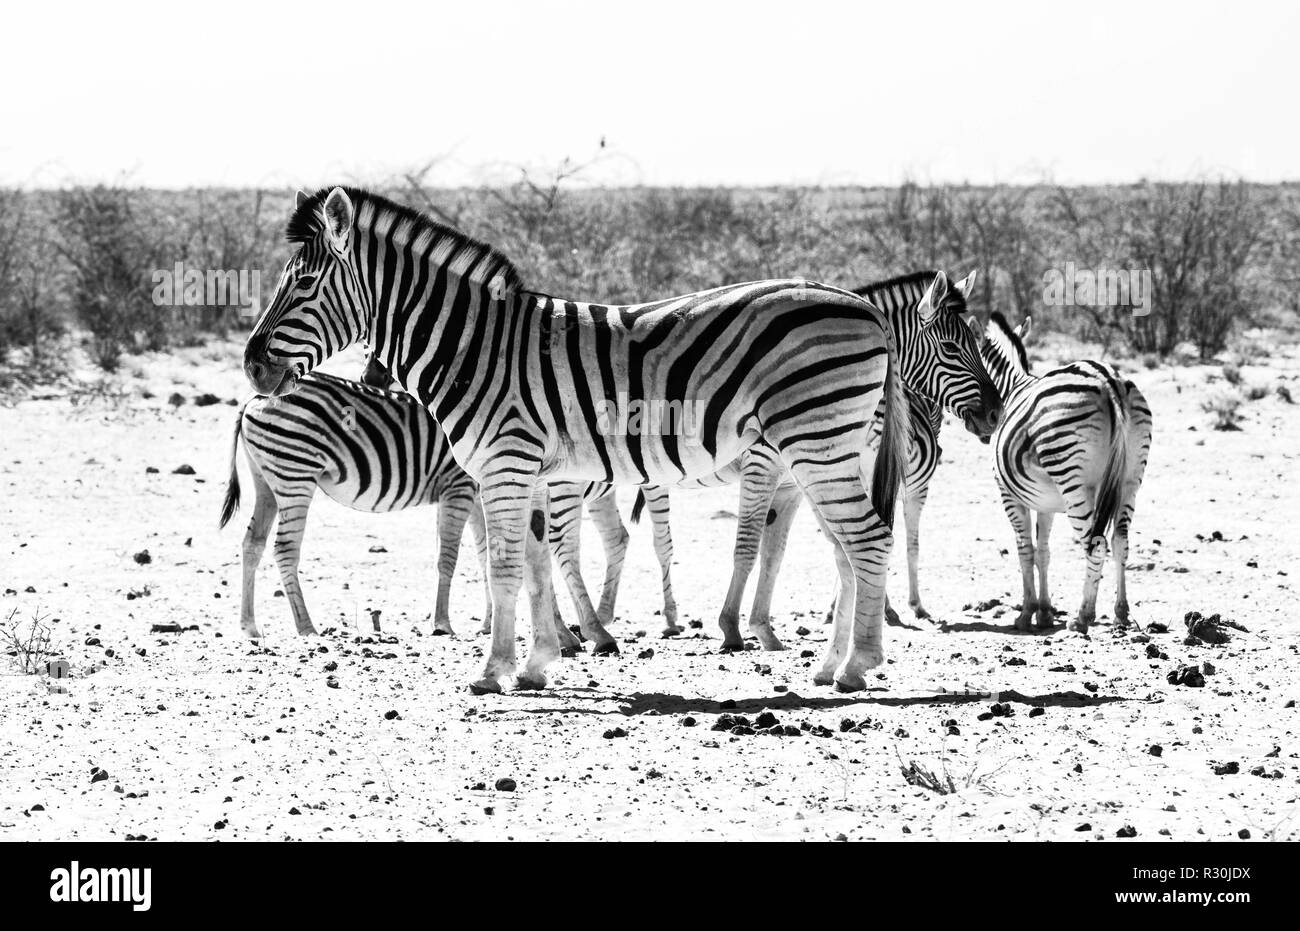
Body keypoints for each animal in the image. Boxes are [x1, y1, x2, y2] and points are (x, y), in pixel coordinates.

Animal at [218, 366, 629, 650]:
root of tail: (254, 399)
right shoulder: (458, 488)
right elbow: (449, 558)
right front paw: (443, 623)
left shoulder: (478, 495)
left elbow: (486, 556)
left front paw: (489, 622)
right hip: (295, 474)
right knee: (284, 549)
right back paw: (306, 626)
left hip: (267, 481)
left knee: (252, 544)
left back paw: (249, 625)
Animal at [624, 267, 998, 647]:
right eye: (951, 347)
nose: (995, 414)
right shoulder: (765, 462)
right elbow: (754, 544)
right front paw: (735, 628)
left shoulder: (804, 474)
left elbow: (787, 547)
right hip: (652, 478)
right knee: (660, 543)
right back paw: (667, 618)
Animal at [977, 314, 1154, 631]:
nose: (986, 431)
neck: (1013, 387)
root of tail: (1110, 381)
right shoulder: (1044, 502)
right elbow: (1043, 552)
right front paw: (1045, 613)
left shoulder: (1010, 495)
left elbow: (1025, 551)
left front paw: (1026, 614)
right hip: (1130, 480)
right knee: (1121, 541)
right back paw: (1121, 612)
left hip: (1072, 479)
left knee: (1096, 544)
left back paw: (1083, 616)